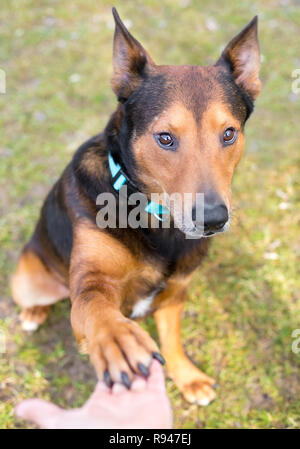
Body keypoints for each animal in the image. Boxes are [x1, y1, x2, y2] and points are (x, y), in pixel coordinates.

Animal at [11, 7, 260, 406]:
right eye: (165, 138)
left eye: (229, 133)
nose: (213, 220)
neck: (153, 216)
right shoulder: (94, 282)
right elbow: (97, 308)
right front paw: (118, 339)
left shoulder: (175, 293)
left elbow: (172, 339)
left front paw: (187, 377)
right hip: (29, 278)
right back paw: (34, 311)